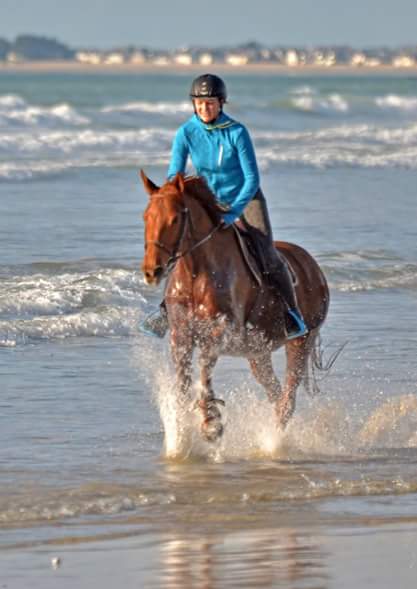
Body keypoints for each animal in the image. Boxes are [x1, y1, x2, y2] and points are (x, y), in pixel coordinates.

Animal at [140, 170, 328, 440]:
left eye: (175, 219)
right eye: (146, 217)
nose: (151, 271)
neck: (197, 274)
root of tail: (313, 267)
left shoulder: (221, 332)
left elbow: (204, 367)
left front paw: (211, 423)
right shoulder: (180, 336)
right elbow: (183, 380)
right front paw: (181, 431)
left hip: (301, 342)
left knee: (287, 399)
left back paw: (273, 443)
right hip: (258, 354)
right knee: (276, 393)